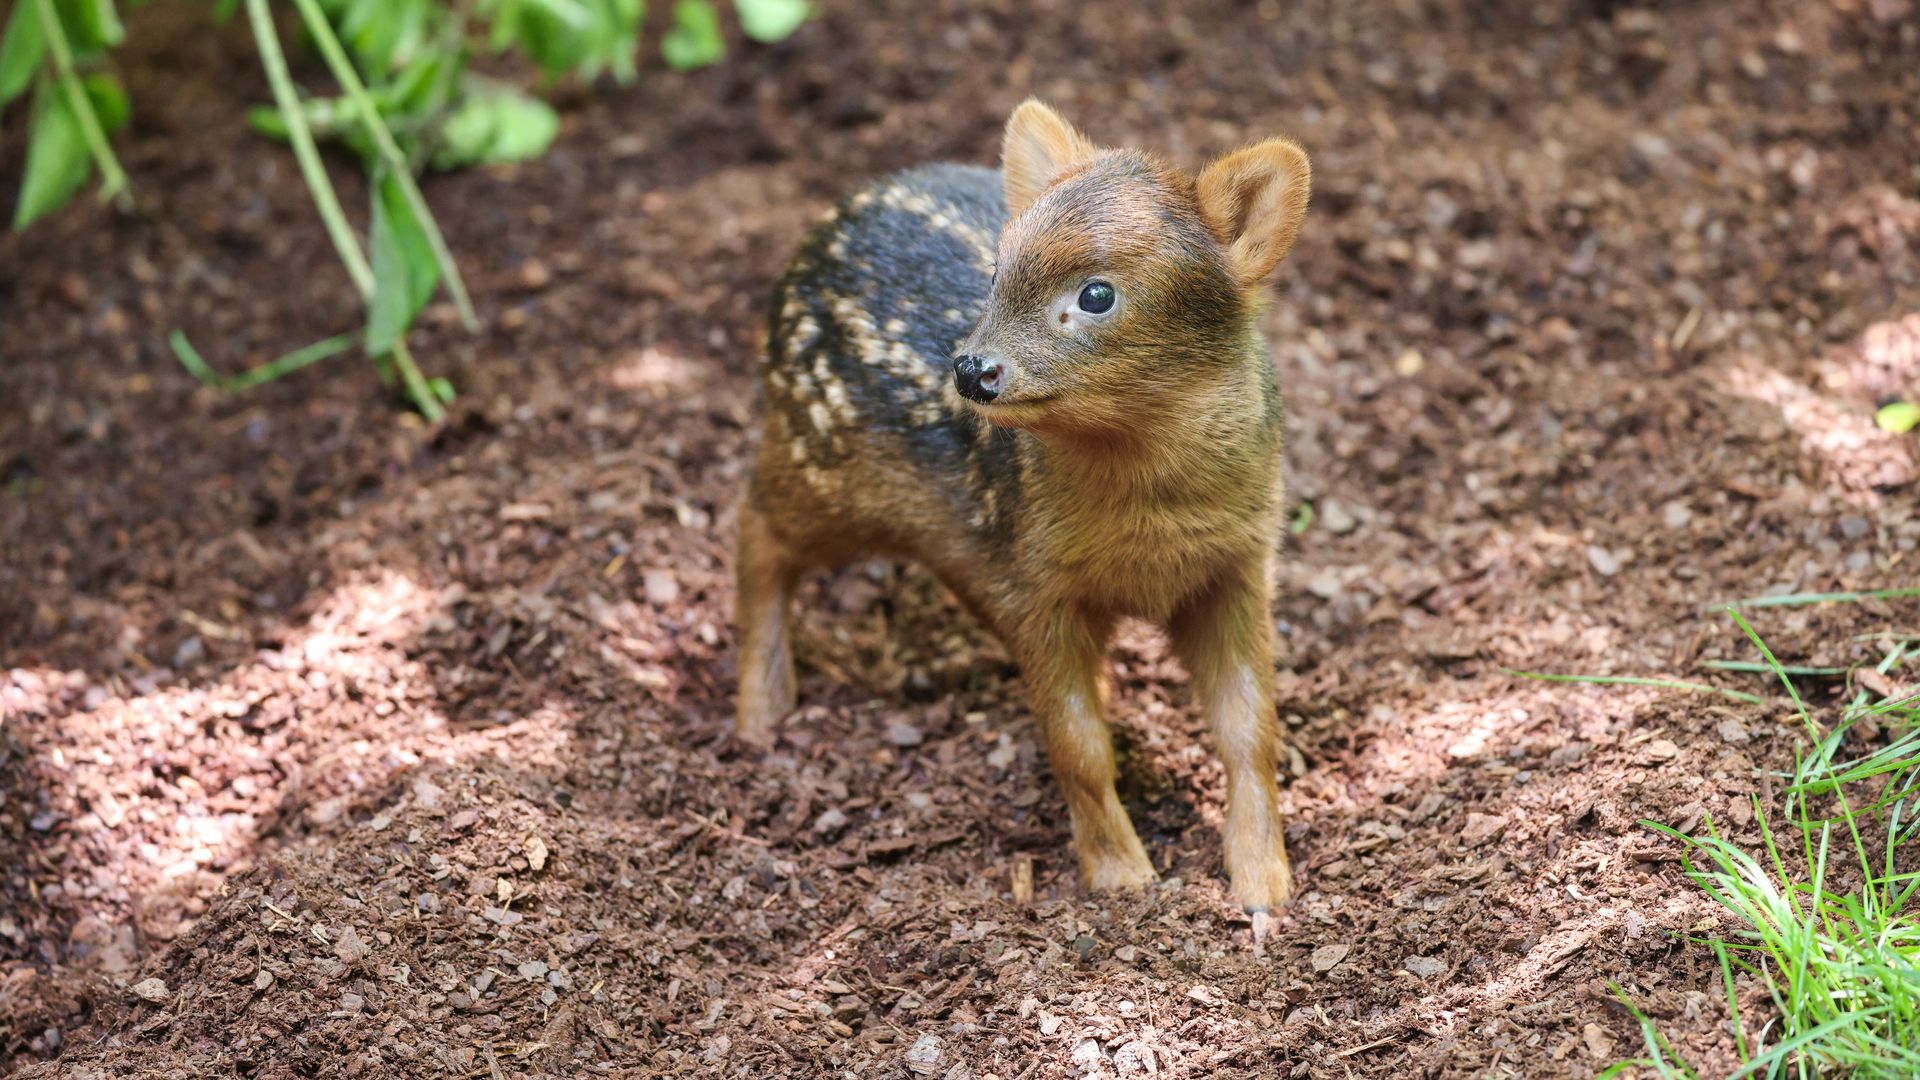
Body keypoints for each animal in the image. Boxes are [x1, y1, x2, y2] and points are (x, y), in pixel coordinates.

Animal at [735, 99, 1311, 919]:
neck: (1147, 505)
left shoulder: (1237, 567)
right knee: (751, 528)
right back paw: (762, 711)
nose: (971, 369)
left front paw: (1264, 881)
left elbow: (1249, 726)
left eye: (1098, 294)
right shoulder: (1034, 584)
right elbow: (1077, 745)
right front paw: (1122, 877)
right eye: (996, 272)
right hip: (816, 461)